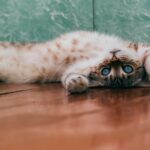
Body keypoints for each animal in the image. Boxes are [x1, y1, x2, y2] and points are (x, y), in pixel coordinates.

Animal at [0, 30, 149, 93]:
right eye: (105, 70)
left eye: (127, 69)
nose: (114, 57)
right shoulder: (138, 46)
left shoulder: (69, 70)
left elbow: (71, 78)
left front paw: (76, 83)